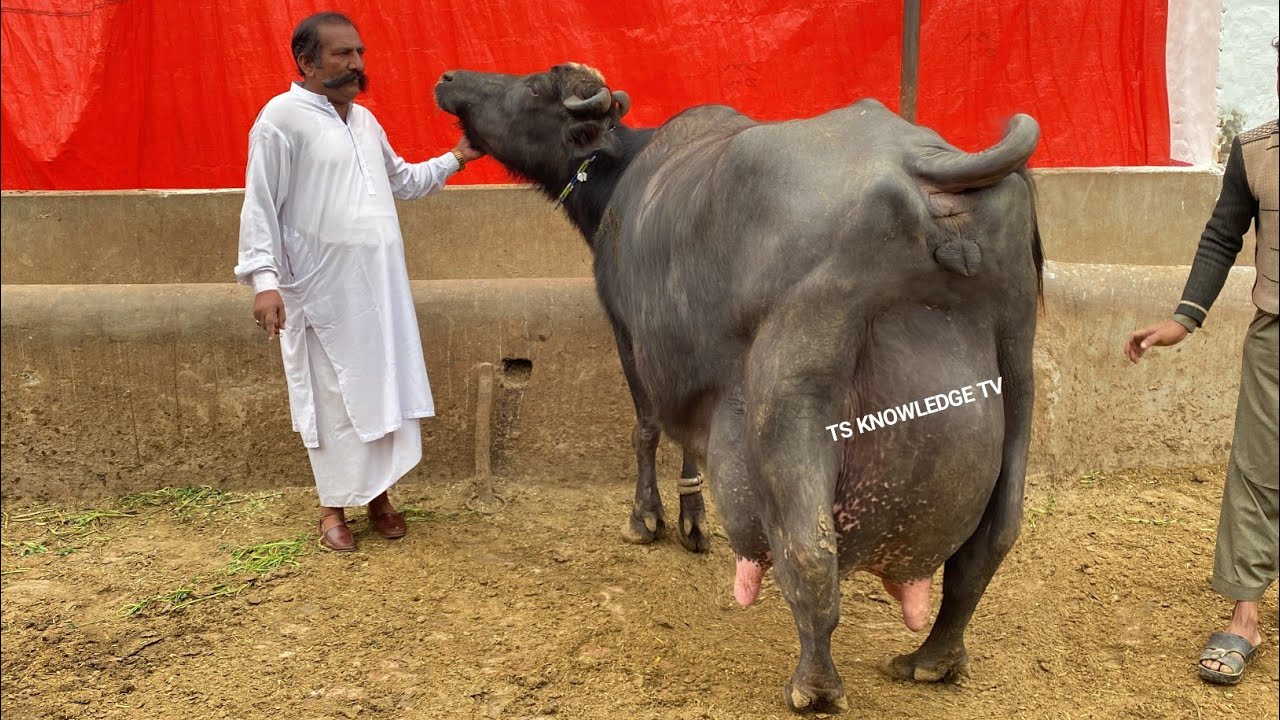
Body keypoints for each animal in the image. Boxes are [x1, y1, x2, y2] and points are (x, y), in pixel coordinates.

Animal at [437, 63, 1042, 713]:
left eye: (531, 87)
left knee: (810, 547)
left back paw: (814, 685)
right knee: (992, 540)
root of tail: (924, 164)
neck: (625, 171)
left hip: (788, 391)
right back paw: (933, 659)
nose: (449, 80)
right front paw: (692, 519)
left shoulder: (628, 333)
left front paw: (646, 519)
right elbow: (688, 439)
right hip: (1018, 369)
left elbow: (647, 426)